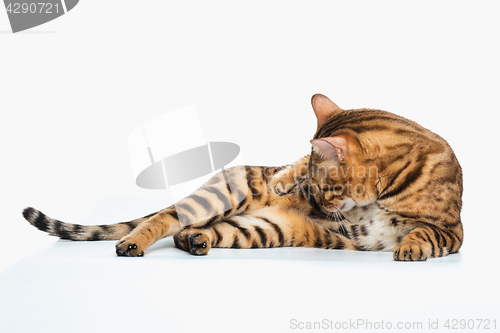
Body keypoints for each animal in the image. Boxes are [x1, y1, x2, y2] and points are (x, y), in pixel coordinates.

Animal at [21, 93, 462, 260]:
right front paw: (286, 178)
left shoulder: (452, 231)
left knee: (191, 231)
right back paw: (133, 242)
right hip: (223, 198)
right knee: (164, 217)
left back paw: (196, 241)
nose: (316, 203)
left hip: (262, 228)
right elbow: (299, 157)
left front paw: (409, 247)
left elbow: (425, 232)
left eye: (327, 190)